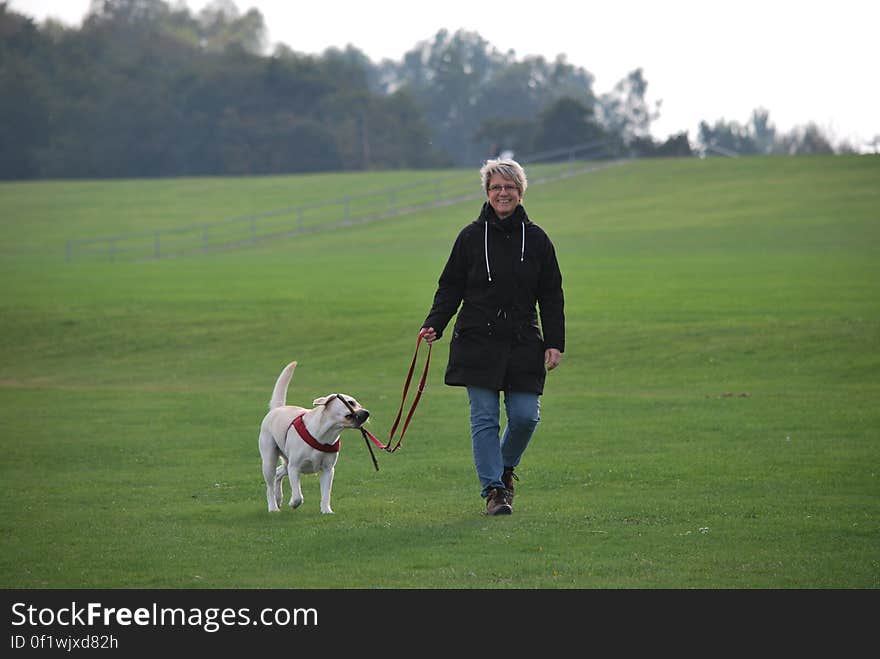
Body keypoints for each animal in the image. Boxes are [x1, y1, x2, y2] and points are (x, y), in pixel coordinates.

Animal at [262, 360, 372, 516]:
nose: (367, 413)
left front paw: (326, 511)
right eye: (350, 402)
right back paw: (273, 506)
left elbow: (326, 493)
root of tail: (277, 408)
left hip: (286, 463)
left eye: (358, 404)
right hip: (269, 459)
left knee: (278, 473)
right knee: (270, 485)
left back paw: (278, 499)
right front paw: (293, 503)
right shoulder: (294, 468)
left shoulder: (328, 470)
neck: (325, 434)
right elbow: (298, 495)